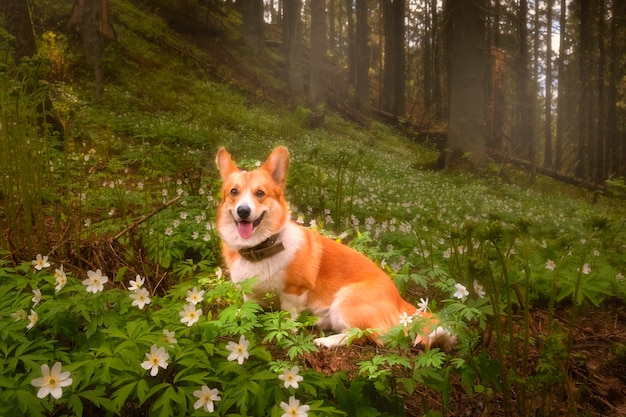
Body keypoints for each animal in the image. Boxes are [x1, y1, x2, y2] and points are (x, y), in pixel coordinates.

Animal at [214, 146, 454, 352]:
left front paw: (290, 330)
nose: (243, 211)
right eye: (233, 192)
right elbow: (248, 312)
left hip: (346, 299)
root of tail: (399, 300)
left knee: (364, 334)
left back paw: (325, 341)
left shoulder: (294, 292)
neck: (261, 248)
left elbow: (288, 315)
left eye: (260, 193)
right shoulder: (249, 296)